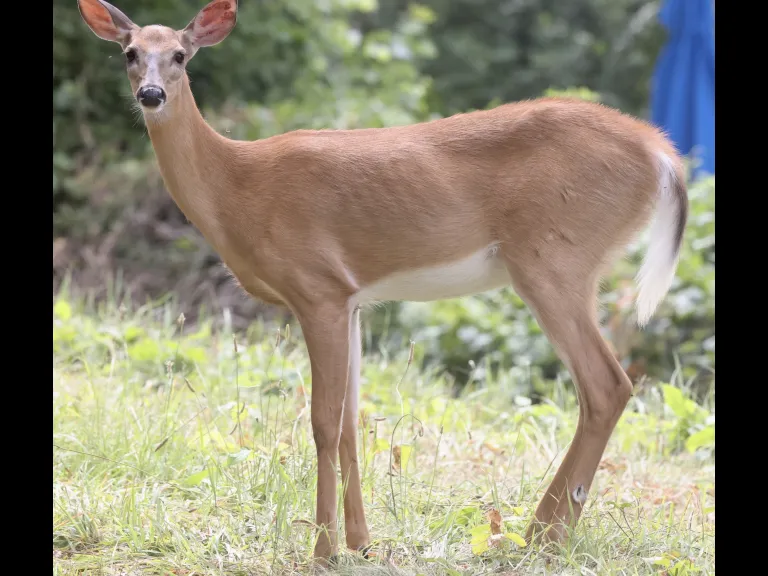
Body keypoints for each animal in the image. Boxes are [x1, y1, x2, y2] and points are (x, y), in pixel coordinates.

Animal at [77, 0, 688, 564]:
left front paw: (323, 549)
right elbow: (352, 421)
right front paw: (361, 542)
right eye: (130, 53)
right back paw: (542, 532)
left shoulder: (316, 288)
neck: (237, 187)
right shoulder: (351, 300)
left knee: (607, 385)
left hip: (555, 258)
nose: (151, 95)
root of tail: (661, 154)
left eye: (180, 55)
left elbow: (323, 421)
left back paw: (542, 535)